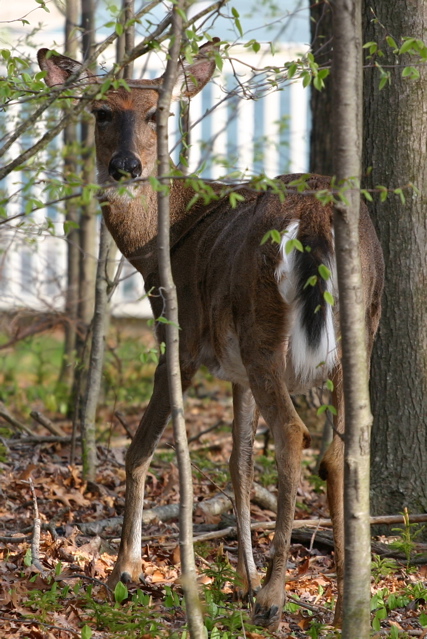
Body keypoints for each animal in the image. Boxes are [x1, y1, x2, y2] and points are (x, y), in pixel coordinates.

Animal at [36, 42, 384, 632]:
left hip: (265, 330)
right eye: (101, 112)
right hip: (361, 328)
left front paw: (125, 570)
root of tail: (317, 219)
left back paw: (274, 599)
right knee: (344, 446)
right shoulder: (234, 371)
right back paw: (343, 604)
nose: (125, 166)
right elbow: (237, 467)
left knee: (293, 434)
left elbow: (140, 448)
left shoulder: (180, 338)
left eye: (156, 113)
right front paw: (241, 579)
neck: (162, 241)